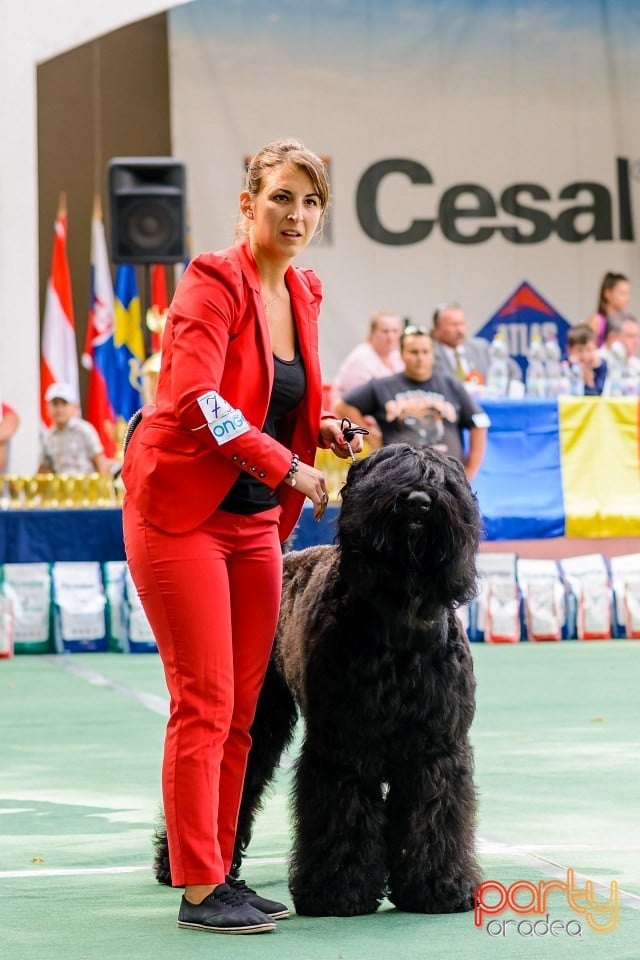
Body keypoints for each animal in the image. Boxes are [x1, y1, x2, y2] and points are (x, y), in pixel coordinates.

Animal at [155, 446, 482, 920]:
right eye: (387, 472)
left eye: (444, 479)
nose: (419, 503)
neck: (397, 617)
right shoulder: (342, 746)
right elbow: (342, 813)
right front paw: (337, 890)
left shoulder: (435, 747)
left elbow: (434, 815)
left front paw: (439, 886)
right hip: (261, 719)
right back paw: (180, 868)